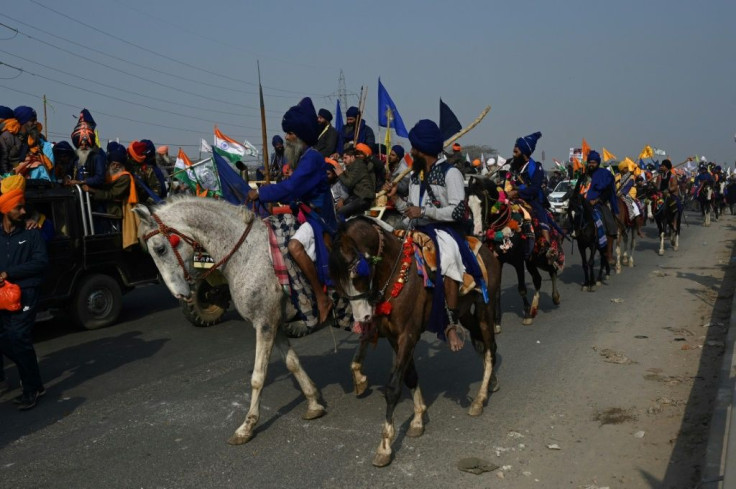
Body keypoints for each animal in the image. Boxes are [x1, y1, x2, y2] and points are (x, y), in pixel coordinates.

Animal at [133, 198, 328, 446]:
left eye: (160, 248)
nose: (180, 294)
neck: (248, 254)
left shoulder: (264, 323)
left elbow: (258, 377)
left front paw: (247, 426)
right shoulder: (273, 322)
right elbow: (292, 362)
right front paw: (313, 402)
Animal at [330, 216, 504, 466]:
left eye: (358, 274)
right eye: (337, 281)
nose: (362, 318)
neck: (395, 275)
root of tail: (488, 251)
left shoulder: (408, 334)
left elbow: (393, 387)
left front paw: (385, 446)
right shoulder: (394, 337)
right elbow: (410, 376)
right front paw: (418, 420)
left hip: (484, 308)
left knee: (490, 348)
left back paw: (479, 399)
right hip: (463, 312)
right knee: (480, 342)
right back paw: (491, 383)